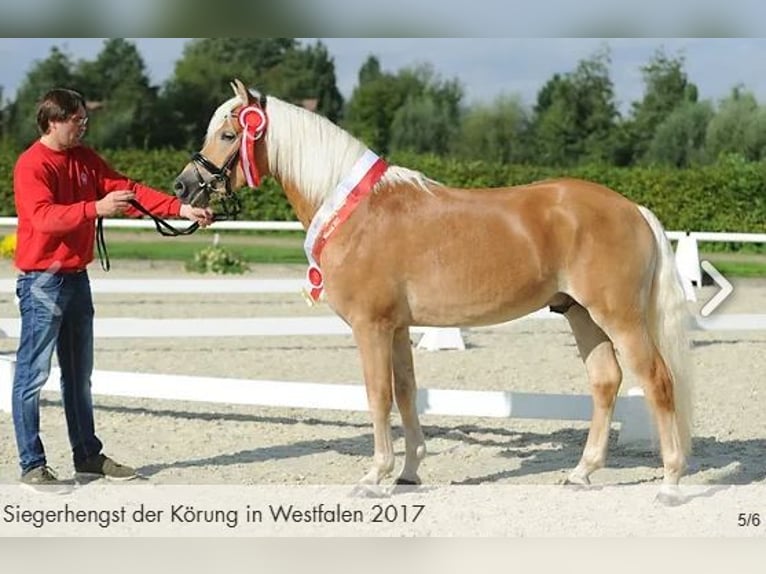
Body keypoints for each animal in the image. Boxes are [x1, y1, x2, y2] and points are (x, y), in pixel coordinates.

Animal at [174, 77, 696, 504]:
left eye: (228, 135)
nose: (183, 187)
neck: (357, 212)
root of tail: (632, 208)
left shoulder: (371, 326)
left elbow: (378, 395)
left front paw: (374, 477)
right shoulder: (398, 327)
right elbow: (406, 392)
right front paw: (408, 472)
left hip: (619, 317)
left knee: (658, 380)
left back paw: (670, 482)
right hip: (580, 314)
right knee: (605, 381)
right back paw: (581, 473)